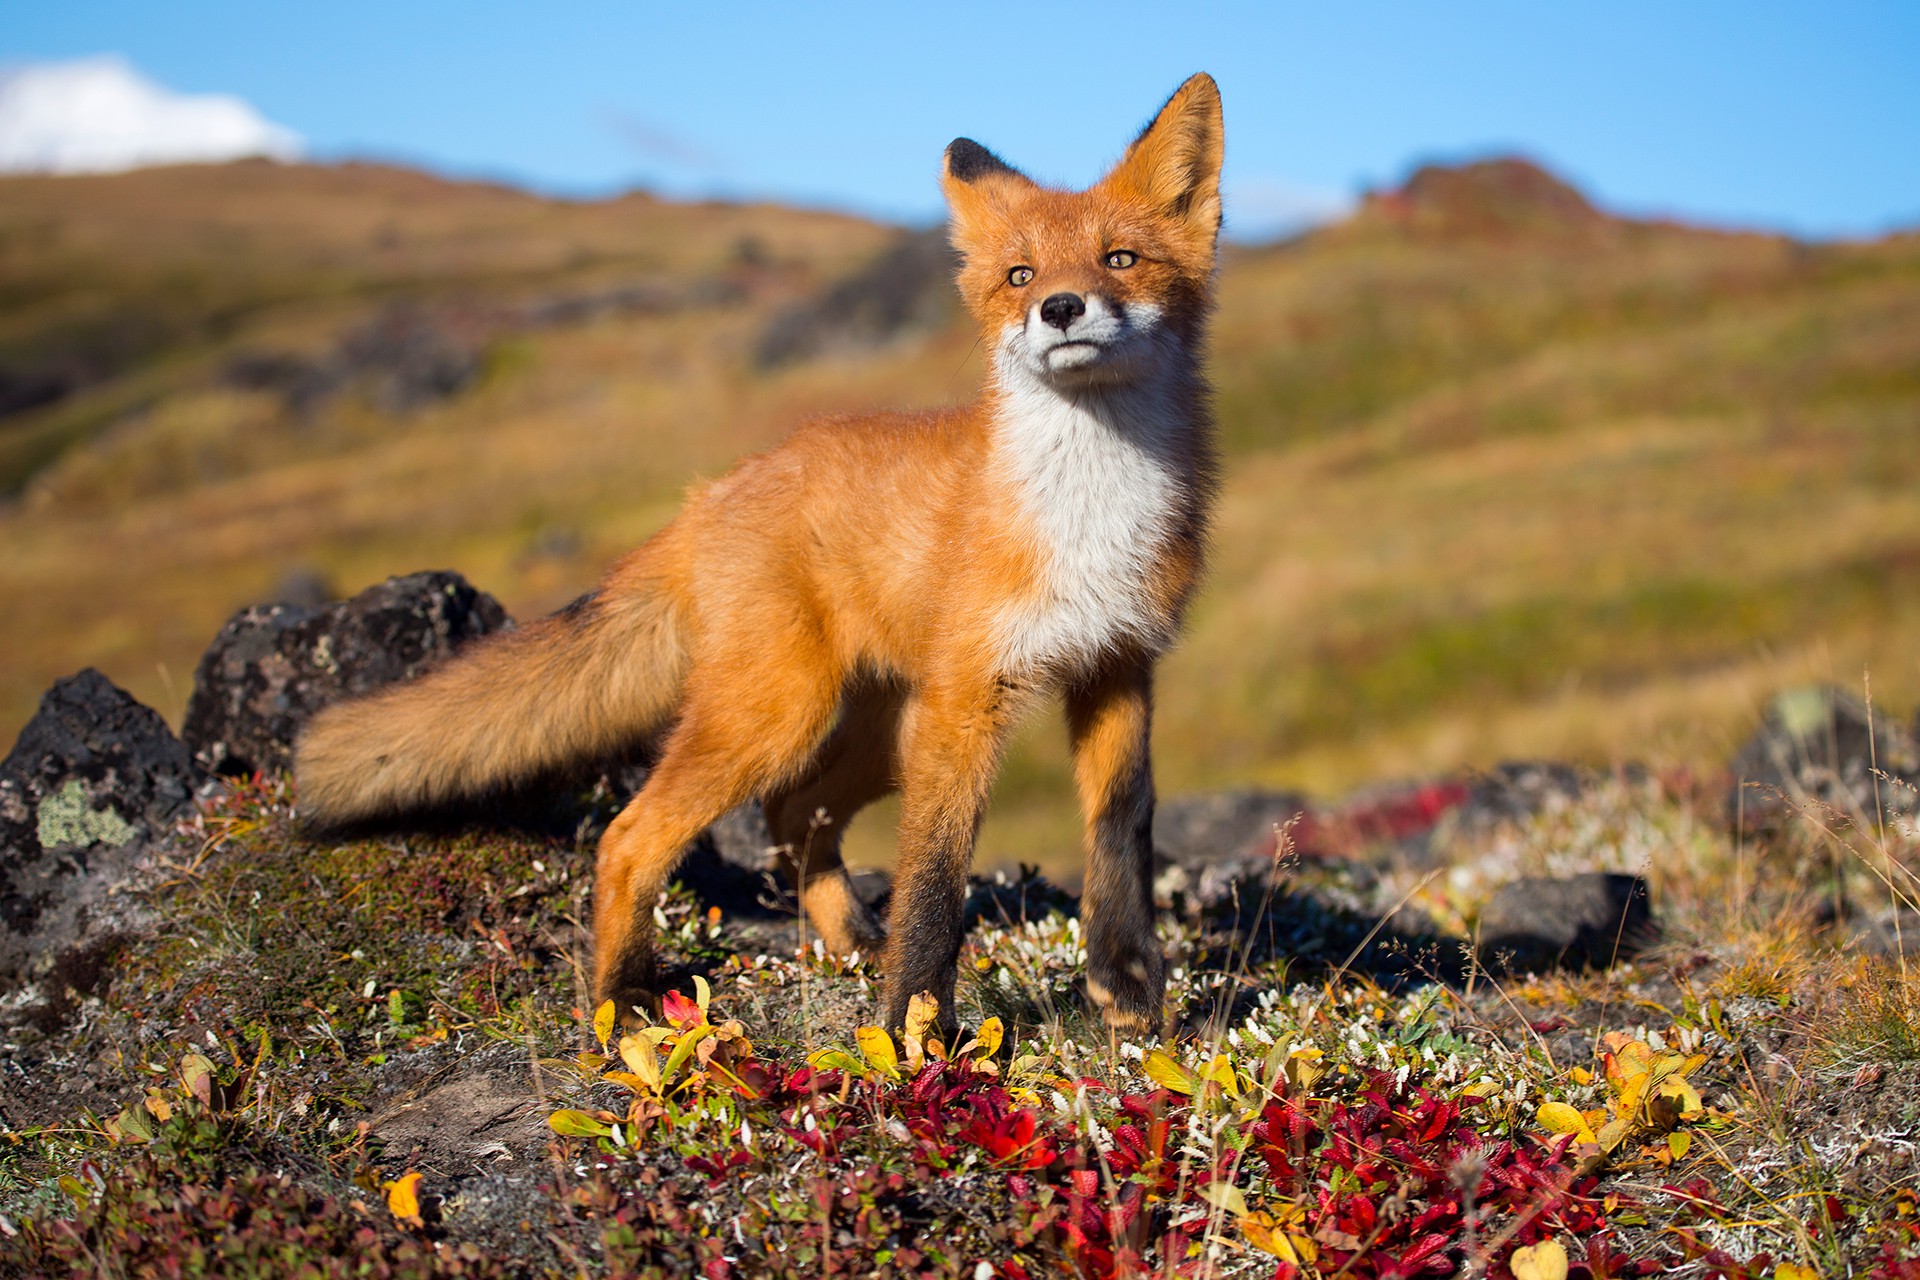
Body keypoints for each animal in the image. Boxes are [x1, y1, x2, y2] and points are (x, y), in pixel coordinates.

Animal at [301, 72, 1228, 1043]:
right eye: (1021, 276)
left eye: (1119, 259)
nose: (1060, 308)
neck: (1088, 519)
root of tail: (707, 495)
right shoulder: (969, 702)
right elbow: (936, 882)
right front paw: (914, 1032)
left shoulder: (1118, 665)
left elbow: (1120, 833)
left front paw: (1129, 989)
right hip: (787, 713)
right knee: (630, 838)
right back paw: (623, 1005)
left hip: (874, 730)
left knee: (789, 815)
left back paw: (848, 943)